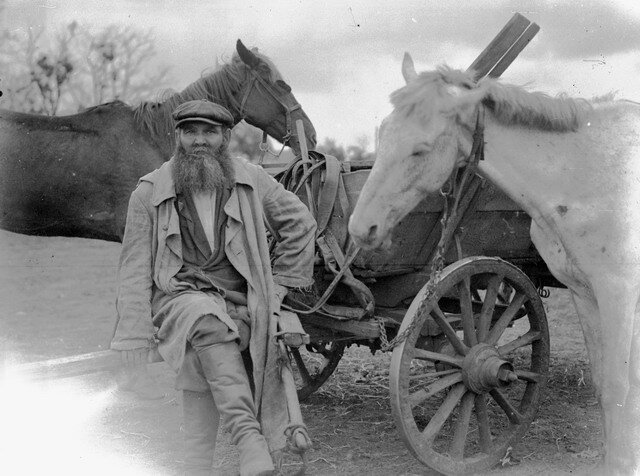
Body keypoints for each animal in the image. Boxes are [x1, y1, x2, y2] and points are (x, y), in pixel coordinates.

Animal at [350, 54, 640, 474]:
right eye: (383, 133)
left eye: (420, 150)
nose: (360, 228)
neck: (588, 175)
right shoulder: (586, 293)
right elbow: (606, 384)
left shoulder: (619, 292)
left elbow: (619, 387)